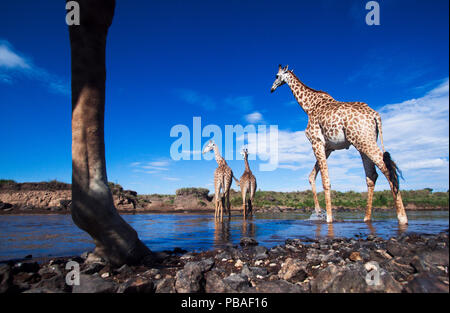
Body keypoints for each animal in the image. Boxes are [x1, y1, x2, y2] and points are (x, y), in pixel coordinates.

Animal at [270, 64, 408, 224]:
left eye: (276, 76)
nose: (272, 88)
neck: (308, 106)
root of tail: (376, 116)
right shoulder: (329, 148)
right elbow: (312, 176)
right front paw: (318, 212)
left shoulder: (316, 142)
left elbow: (325, 180)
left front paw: (328, 218)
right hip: (363, 143)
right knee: (372, 175)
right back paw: (366, 218)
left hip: (363, 140)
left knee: (387, 168)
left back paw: (402, 218)